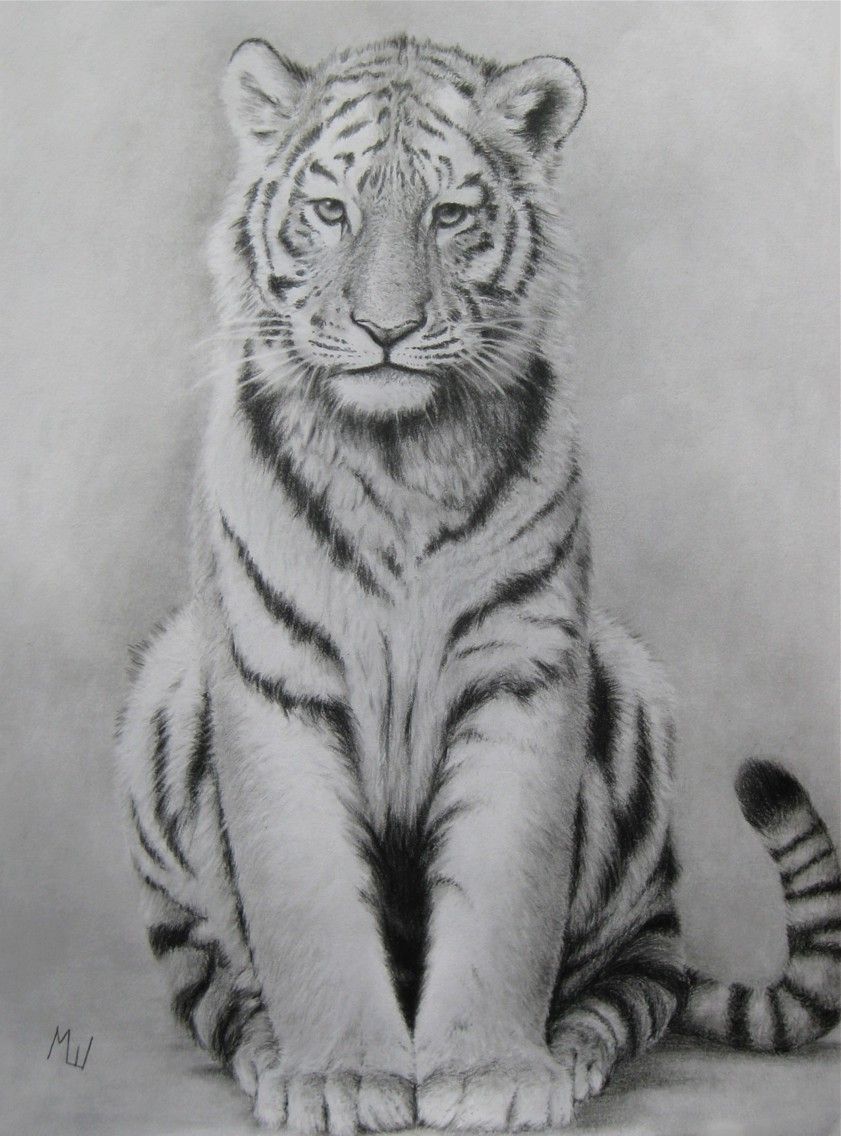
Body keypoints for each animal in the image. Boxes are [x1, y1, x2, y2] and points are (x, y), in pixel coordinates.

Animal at [115, 35, 841, 1133]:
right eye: (329, 210)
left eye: (449, 215)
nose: (384, 328)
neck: (396, 454)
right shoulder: (277, 679)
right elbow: (304, 903)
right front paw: (338, 1076)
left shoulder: (522, 667)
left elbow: (507, 896)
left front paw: (494, 1069)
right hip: (167, 689)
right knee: (215, 981)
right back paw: (269, 1056)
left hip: (626, 691)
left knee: (641, 974)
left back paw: (570, 1051)